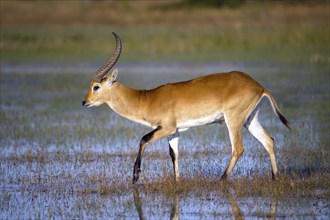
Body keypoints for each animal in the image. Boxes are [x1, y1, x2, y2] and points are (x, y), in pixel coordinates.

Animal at [83, 32, 292, 184]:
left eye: (96, 86)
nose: (84, 102)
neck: (147, 99)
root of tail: (258, 85)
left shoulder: (165, 128)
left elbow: (143, 139)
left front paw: (135, 177)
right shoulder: (174, 131)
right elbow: (173, 154)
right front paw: (177, 181)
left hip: (233, 120)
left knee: (238, 148)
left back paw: (221, 179)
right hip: (250, 120)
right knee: (268, 141)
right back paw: (275, 177)